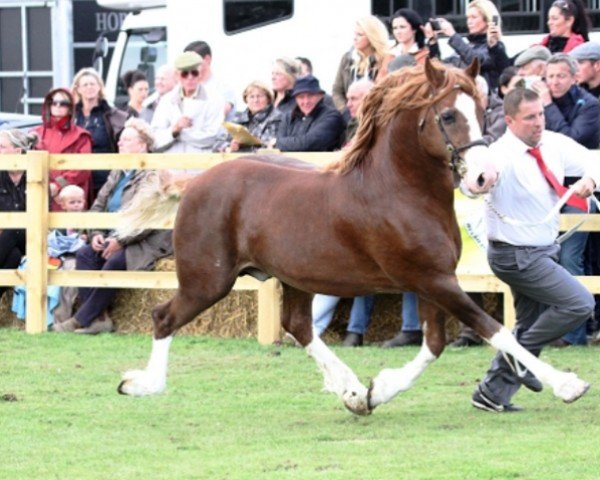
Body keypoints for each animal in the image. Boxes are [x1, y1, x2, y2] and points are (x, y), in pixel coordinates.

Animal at [118, 60, 592, 412]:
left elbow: (435, 344)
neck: (399, 191)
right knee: (163, 317)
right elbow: (495, 330)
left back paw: (350, 391)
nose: (484, 177)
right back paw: (141, 384)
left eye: (480, 109)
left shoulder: (431, 281)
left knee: (298, 327)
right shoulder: (433, 280)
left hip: (295, 278)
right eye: (448, 115)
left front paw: (376, 391)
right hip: (208, 280)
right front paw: (569, 385)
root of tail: (194, 183)